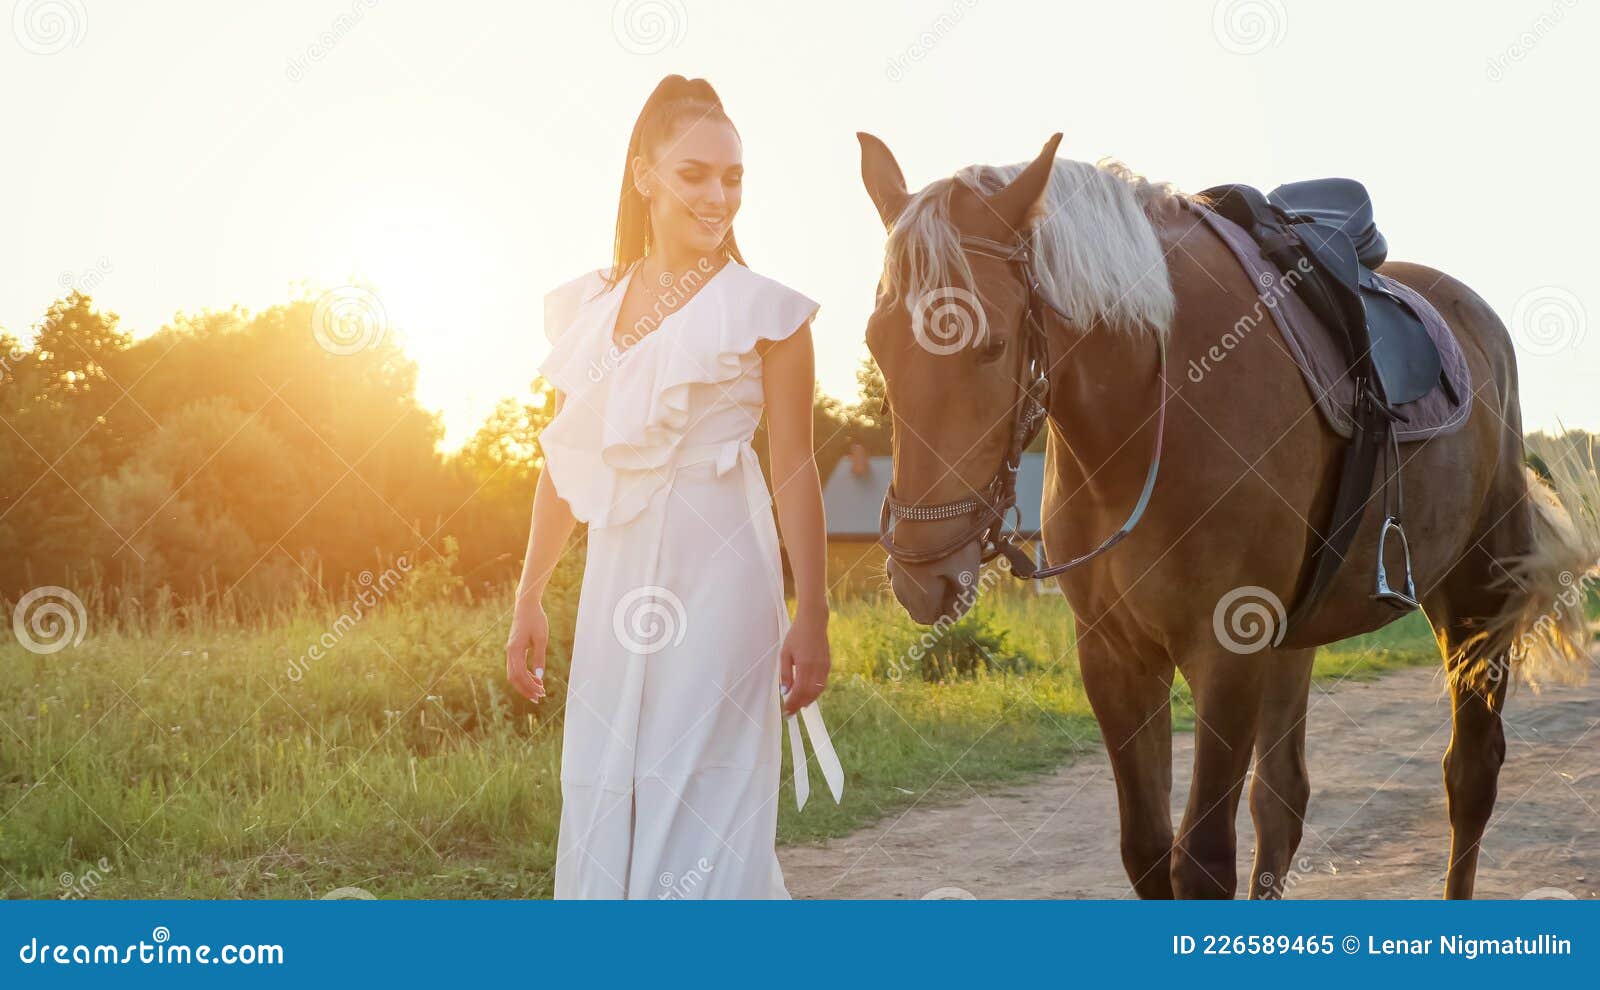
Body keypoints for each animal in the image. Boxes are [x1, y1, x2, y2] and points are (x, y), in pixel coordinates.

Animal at [857, 129, 1600, 895]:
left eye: (992, 345)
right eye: (876, 340)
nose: (921, 575)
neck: (1149, 418)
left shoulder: (1228, 652)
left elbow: (1204, 858)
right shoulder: (1116, 657)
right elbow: (1148, 849)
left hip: (1477, 605)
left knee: (1470, 775)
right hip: (1297, 642)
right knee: (1283, 800)